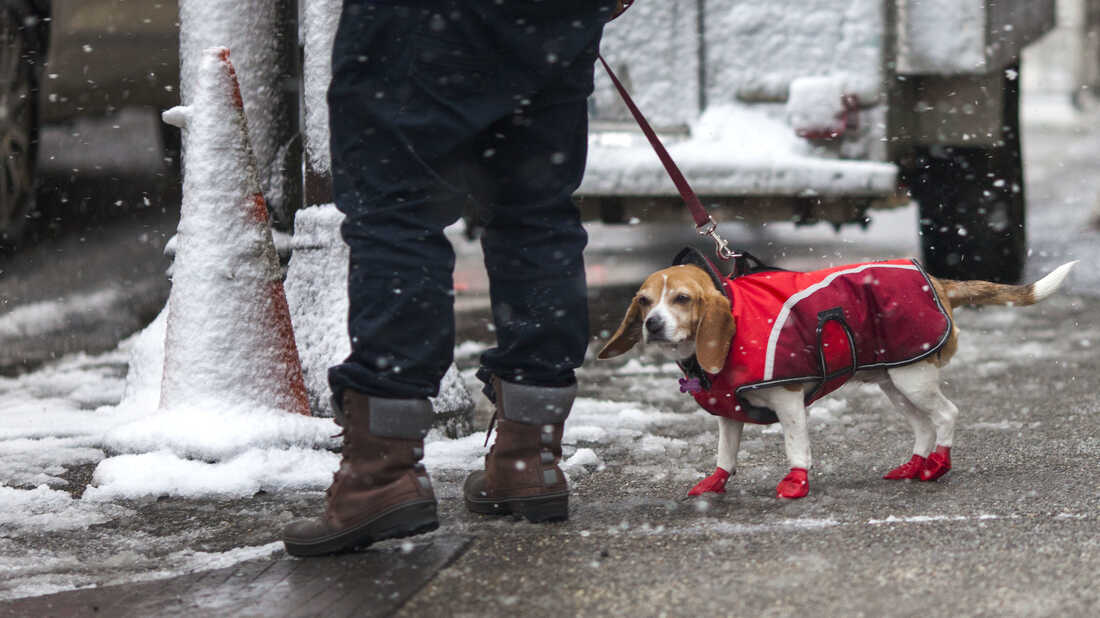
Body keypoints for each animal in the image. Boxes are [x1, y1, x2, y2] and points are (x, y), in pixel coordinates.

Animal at [598, 257, 1078, 497]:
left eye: (681, 299)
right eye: (644, 301)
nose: (653, 324)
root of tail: (936, 280)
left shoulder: (789, 402)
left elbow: (796, 448)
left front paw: (796, 483)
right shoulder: (729, 415)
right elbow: (725, 455)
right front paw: (714, 484)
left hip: (914, 379)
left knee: (947, 415)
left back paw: (937, 466)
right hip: (894, 383)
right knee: (923, 426)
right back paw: (915, 464)